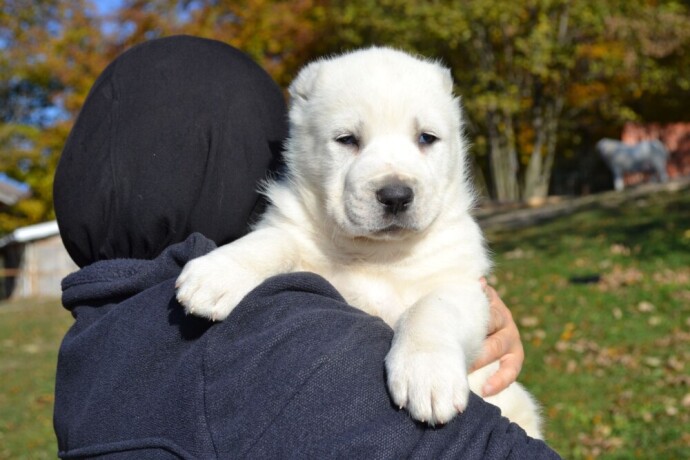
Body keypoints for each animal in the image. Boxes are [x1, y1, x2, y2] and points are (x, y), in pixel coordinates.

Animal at [177, 47, 544, 438]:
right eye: (347, 139)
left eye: (426, 138)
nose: (396, 195)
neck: (376, 253)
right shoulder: (294, 232)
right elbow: (273, 239)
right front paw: (216, 273)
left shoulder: (462, 286)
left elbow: (431, 308)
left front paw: (427, 376)